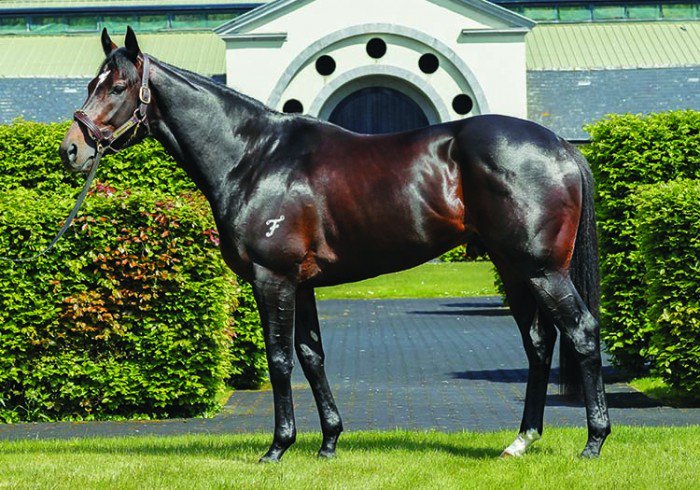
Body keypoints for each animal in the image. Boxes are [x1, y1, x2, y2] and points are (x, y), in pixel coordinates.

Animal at [59, 28, 610, 462]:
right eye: (89, 84)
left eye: (119, 86)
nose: (72, 150)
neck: (253, 157)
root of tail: (561, 146)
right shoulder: (300, 283)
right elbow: (311, 355)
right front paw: (328, 442)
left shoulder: (272, 279)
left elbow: (280, 359)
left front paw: (278, 447)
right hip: (513, 268)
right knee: (538, 342)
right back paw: (521, 441)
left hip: (542, 269)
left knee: (581, 332)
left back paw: (593, 441)